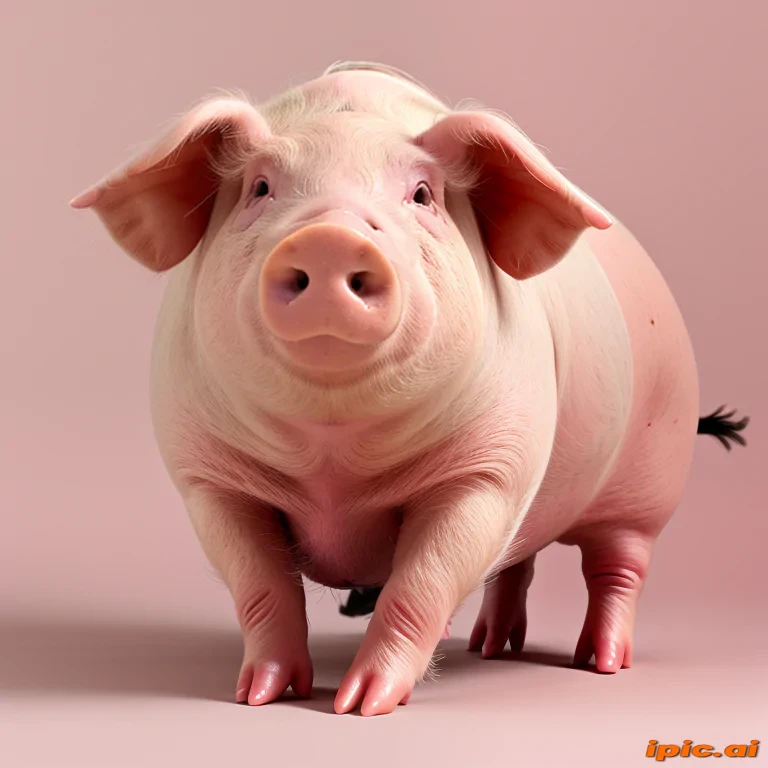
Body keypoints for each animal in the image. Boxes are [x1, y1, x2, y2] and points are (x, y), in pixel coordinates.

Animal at [70, 61, 749, 716]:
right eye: (260, 188)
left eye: (422, 194)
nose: (330, 236)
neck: (333, 462)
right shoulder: (208, 478)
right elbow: (261, 587)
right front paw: (261, 695)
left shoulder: (489, 472)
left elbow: (420, 585)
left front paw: (361, 705)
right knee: (516, 563)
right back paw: (491, 648)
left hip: (651, 476)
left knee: (617, 568)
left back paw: (601, 663)